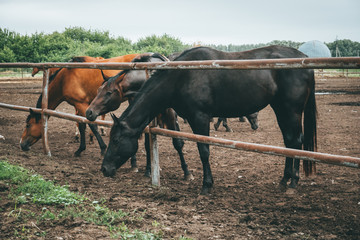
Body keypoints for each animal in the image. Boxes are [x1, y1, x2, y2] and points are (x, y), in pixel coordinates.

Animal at [86, 52, 194, 180]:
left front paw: (187, 172)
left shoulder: (169, 114)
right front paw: (148, 169)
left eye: (109, 93)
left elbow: (177, 143)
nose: (89, 112)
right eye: (98, 90)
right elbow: (147, 145)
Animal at [100, 45, 316, 195]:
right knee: (289, 141)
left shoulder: (200, 118)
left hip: (291, 110)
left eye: (116, 140)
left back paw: (293, 182)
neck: (183, 76)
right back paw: (284, 180)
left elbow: (204, 151)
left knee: (296, 141)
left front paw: (206, 185)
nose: (104, 169)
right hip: (281, 109)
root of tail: (305, 60)